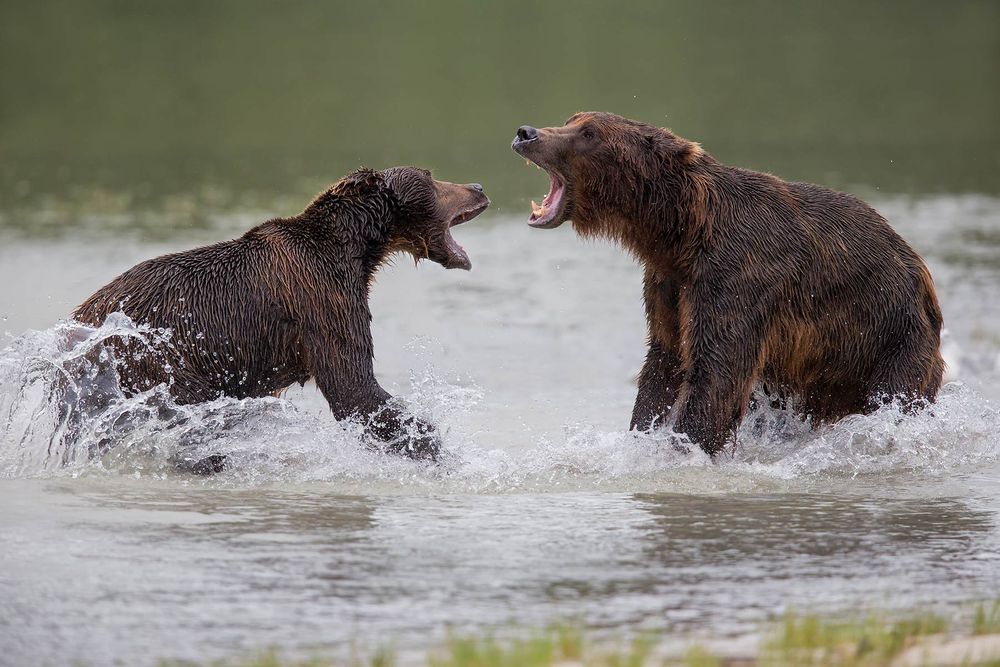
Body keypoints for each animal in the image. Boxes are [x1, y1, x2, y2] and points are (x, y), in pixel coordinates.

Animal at [73, 166, 489, 462]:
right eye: (430, 176)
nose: (479, 186)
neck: (355, 250)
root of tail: (80, 317)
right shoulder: (322, 298)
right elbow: (353, 385)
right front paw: (435, 448)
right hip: (154, 358)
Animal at [511, 112, 944, 456]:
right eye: (571, 120)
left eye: (589, 132)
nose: (526, 132)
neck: (681, 233)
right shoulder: (668, 286)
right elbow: (664, 363)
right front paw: (641, 434)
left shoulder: (737, 277)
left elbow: (717, 372)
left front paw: (681, 448)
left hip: (891, 339)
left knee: (892, 397)